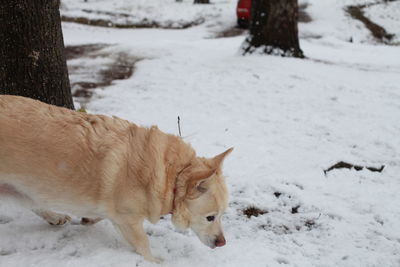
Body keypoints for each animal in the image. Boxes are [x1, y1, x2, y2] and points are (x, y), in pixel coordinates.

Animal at [0, 95, 233, 262]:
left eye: (222, 215)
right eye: (210, 217)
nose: (223, 243)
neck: (171, 175)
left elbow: (99, 214)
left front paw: (89, 218)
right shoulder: (128, 220)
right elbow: (143, 245)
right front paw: (156, 262)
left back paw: (54, 216)